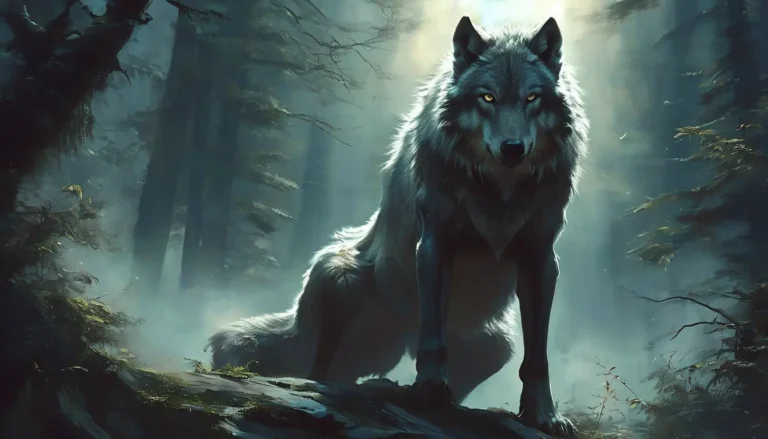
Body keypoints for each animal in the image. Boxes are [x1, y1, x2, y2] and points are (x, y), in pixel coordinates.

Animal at [208, 16, 588, 437]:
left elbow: (538, 357)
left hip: (495, 344)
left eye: (532, 98)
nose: (512, 148)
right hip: (340, 279)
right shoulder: (435, 244)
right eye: (487, 98)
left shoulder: (541, 260)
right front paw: (429, 389)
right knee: (320, 370)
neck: (499, 189)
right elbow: (434, 337)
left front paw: (543, 415)